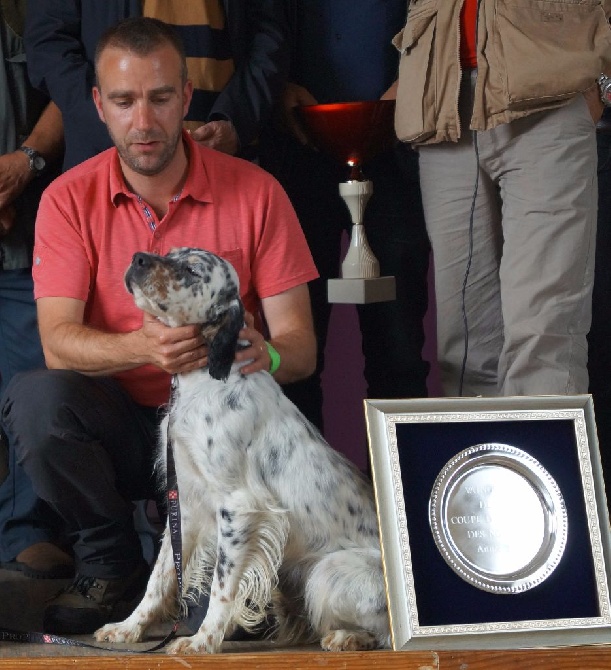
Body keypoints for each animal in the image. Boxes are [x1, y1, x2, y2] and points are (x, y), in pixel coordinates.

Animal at [95, 248, 392, 656]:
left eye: (192, 269)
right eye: (170, 254)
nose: (139, 258)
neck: (207, 379)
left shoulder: (239, 507)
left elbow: (222, 588)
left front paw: (202, 640)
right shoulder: (185, 505)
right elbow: (160, 578)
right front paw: (128, 628)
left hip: (328, 572)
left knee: (388, 633)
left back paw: (349, 637)